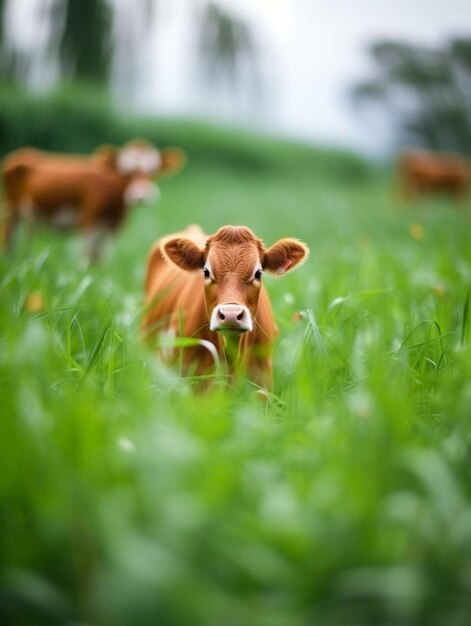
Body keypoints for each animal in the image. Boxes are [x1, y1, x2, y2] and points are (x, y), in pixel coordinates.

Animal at [2, 140, 186, 260]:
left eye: (153, 172)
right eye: (125, 173)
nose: (140, 196)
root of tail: (22, 153)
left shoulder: (112, 228)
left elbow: (101, 258)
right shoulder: (88, 221)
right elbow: (87, 256)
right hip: (11, 210)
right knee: (8, 237)